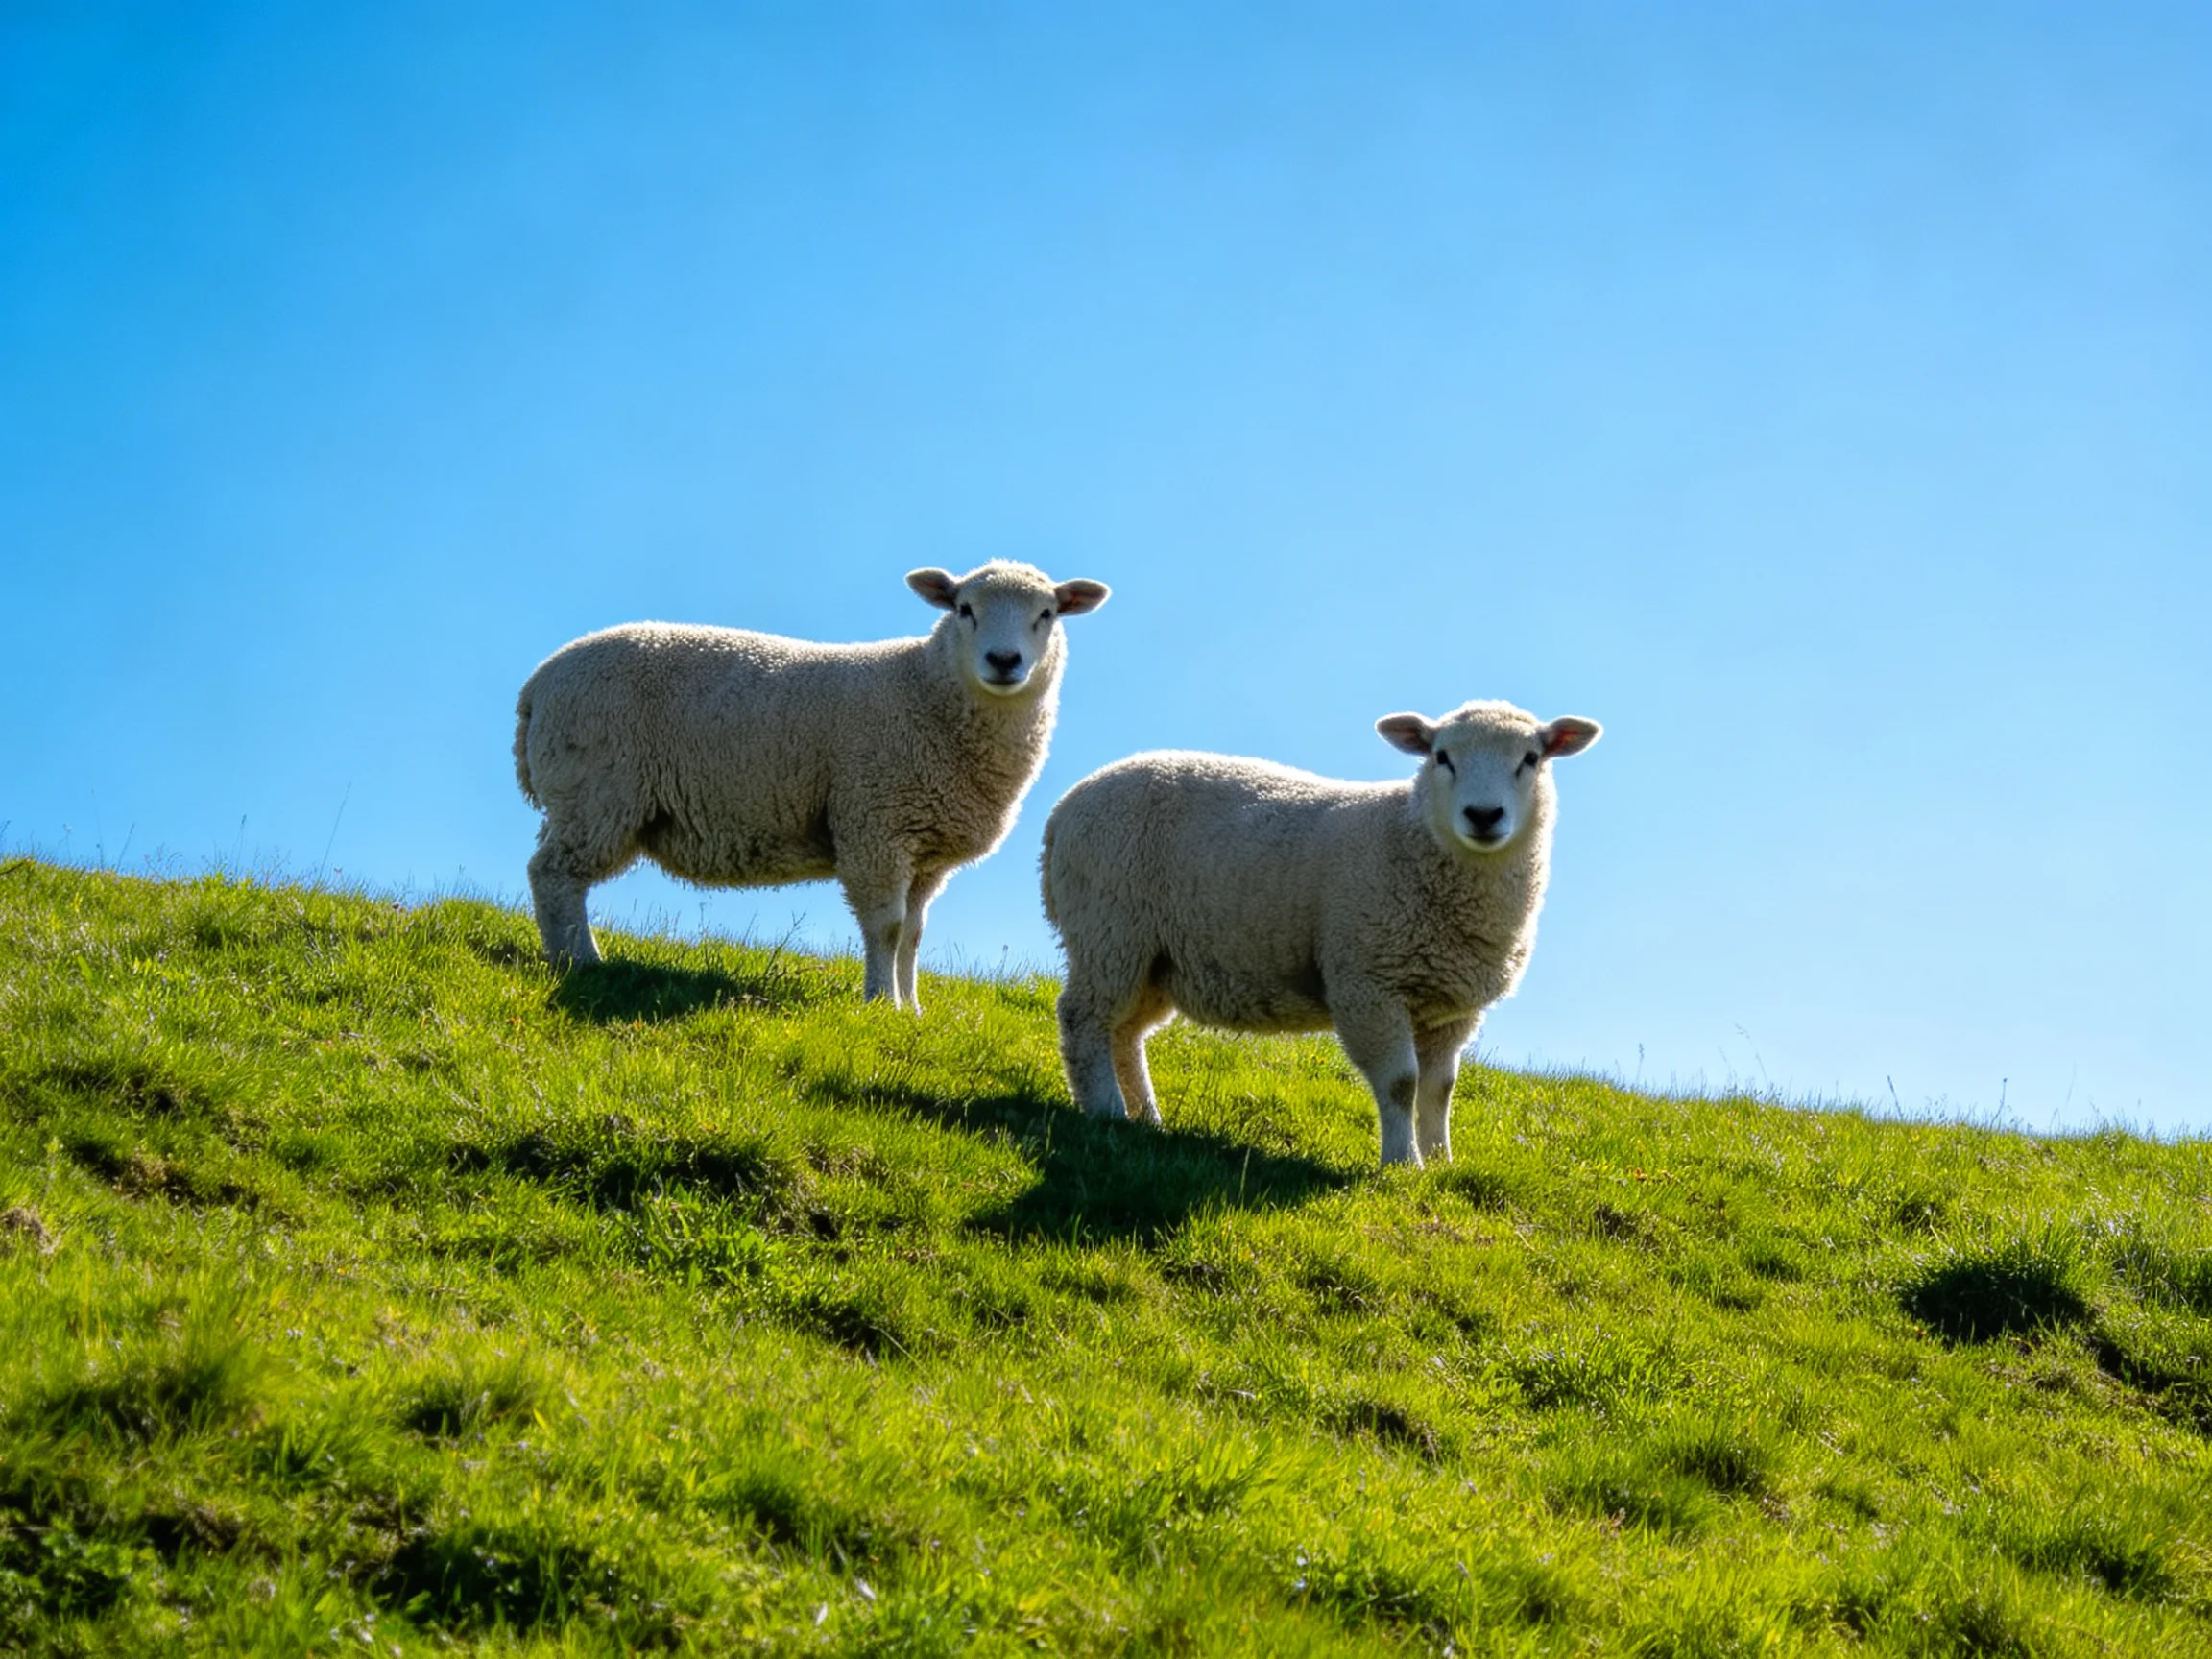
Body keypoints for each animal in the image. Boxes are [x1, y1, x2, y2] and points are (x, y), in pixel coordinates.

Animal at [514, 560, 1109, 1006]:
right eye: (964, 609)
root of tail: (538, 683)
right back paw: (580, 961)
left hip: (586, 798)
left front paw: (913, 1010)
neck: (925, 691)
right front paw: (880, 1004)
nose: (1004, 661)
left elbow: (914, 935)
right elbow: (887, 927)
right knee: (554, 876)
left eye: (1047, 613)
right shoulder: (875, 826)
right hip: (597, 793)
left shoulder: (926, 851)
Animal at [1041, 700, 1600, 1167]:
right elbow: (1401, 1083)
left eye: (1531, 758)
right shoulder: (1367, 982)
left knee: (1124, 1033)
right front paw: (1402, 1165)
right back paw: (1107, 1112)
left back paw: (1146, 1120)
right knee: (1083, 1019)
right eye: (1442, 756)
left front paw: (1441, 1163)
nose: (1484, 815)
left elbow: (1440, 1088)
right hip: (1109, 929)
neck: (1411, 836)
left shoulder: (1451, 1008)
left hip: (1153, 957)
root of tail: (1064, 808)